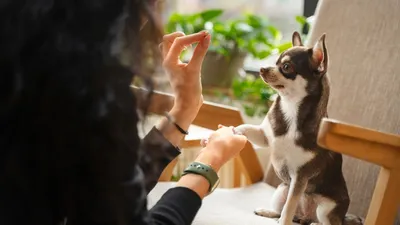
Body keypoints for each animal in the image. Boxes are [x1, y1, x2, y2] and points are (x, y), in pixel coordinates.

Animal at [234, 32, 362, 225]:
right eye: (275, 62)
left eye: (286, 67)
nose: (262, 68)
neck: (291, 109)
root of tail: (306, 216)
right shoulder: (264, 136)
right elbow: (247, 128)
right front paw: (233, 131)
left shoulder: (300, 177)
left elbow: (290, 205)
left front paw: (283, 222)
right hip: (281, 190)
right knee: (284, 210)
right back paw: (269, 212)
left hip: (326, 209)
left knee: (320, 219)